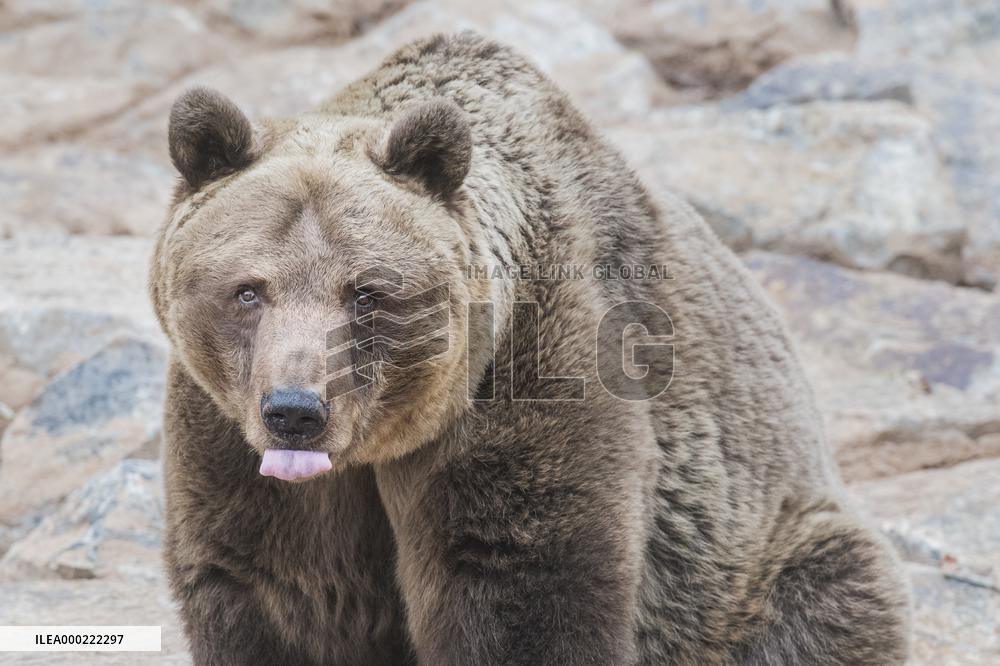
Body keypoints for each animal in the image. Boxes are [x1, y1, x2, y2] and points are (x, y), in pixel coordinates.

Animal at [150, 32, 910, 665]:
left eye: (365, 293)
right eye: (248, 291)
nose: (296, 411)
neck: (379, 447)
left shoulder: (533, 371)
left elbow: (522, 578)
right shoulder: (229, 435)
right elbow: (281, 587)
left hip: (756, 557)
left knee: (828, 595)